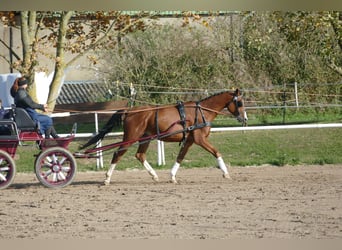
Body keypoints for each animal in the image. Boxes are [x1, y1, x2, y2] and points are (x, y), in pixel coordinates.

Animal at [80, 88, 247, 184]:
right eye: (239, 103)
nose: (244, 119)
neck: (201, 112)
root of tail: (130, 110)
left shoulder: (190, 140)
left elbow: (180, 157)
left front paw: (172, 176)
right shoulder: (200, 139)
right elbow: (216, 152)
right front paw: (226, 173)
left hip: (145, 139)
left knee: (140, 155)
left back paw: (154, 175)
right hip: (130, 138)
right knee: (117, 154)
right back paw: (107, 178)